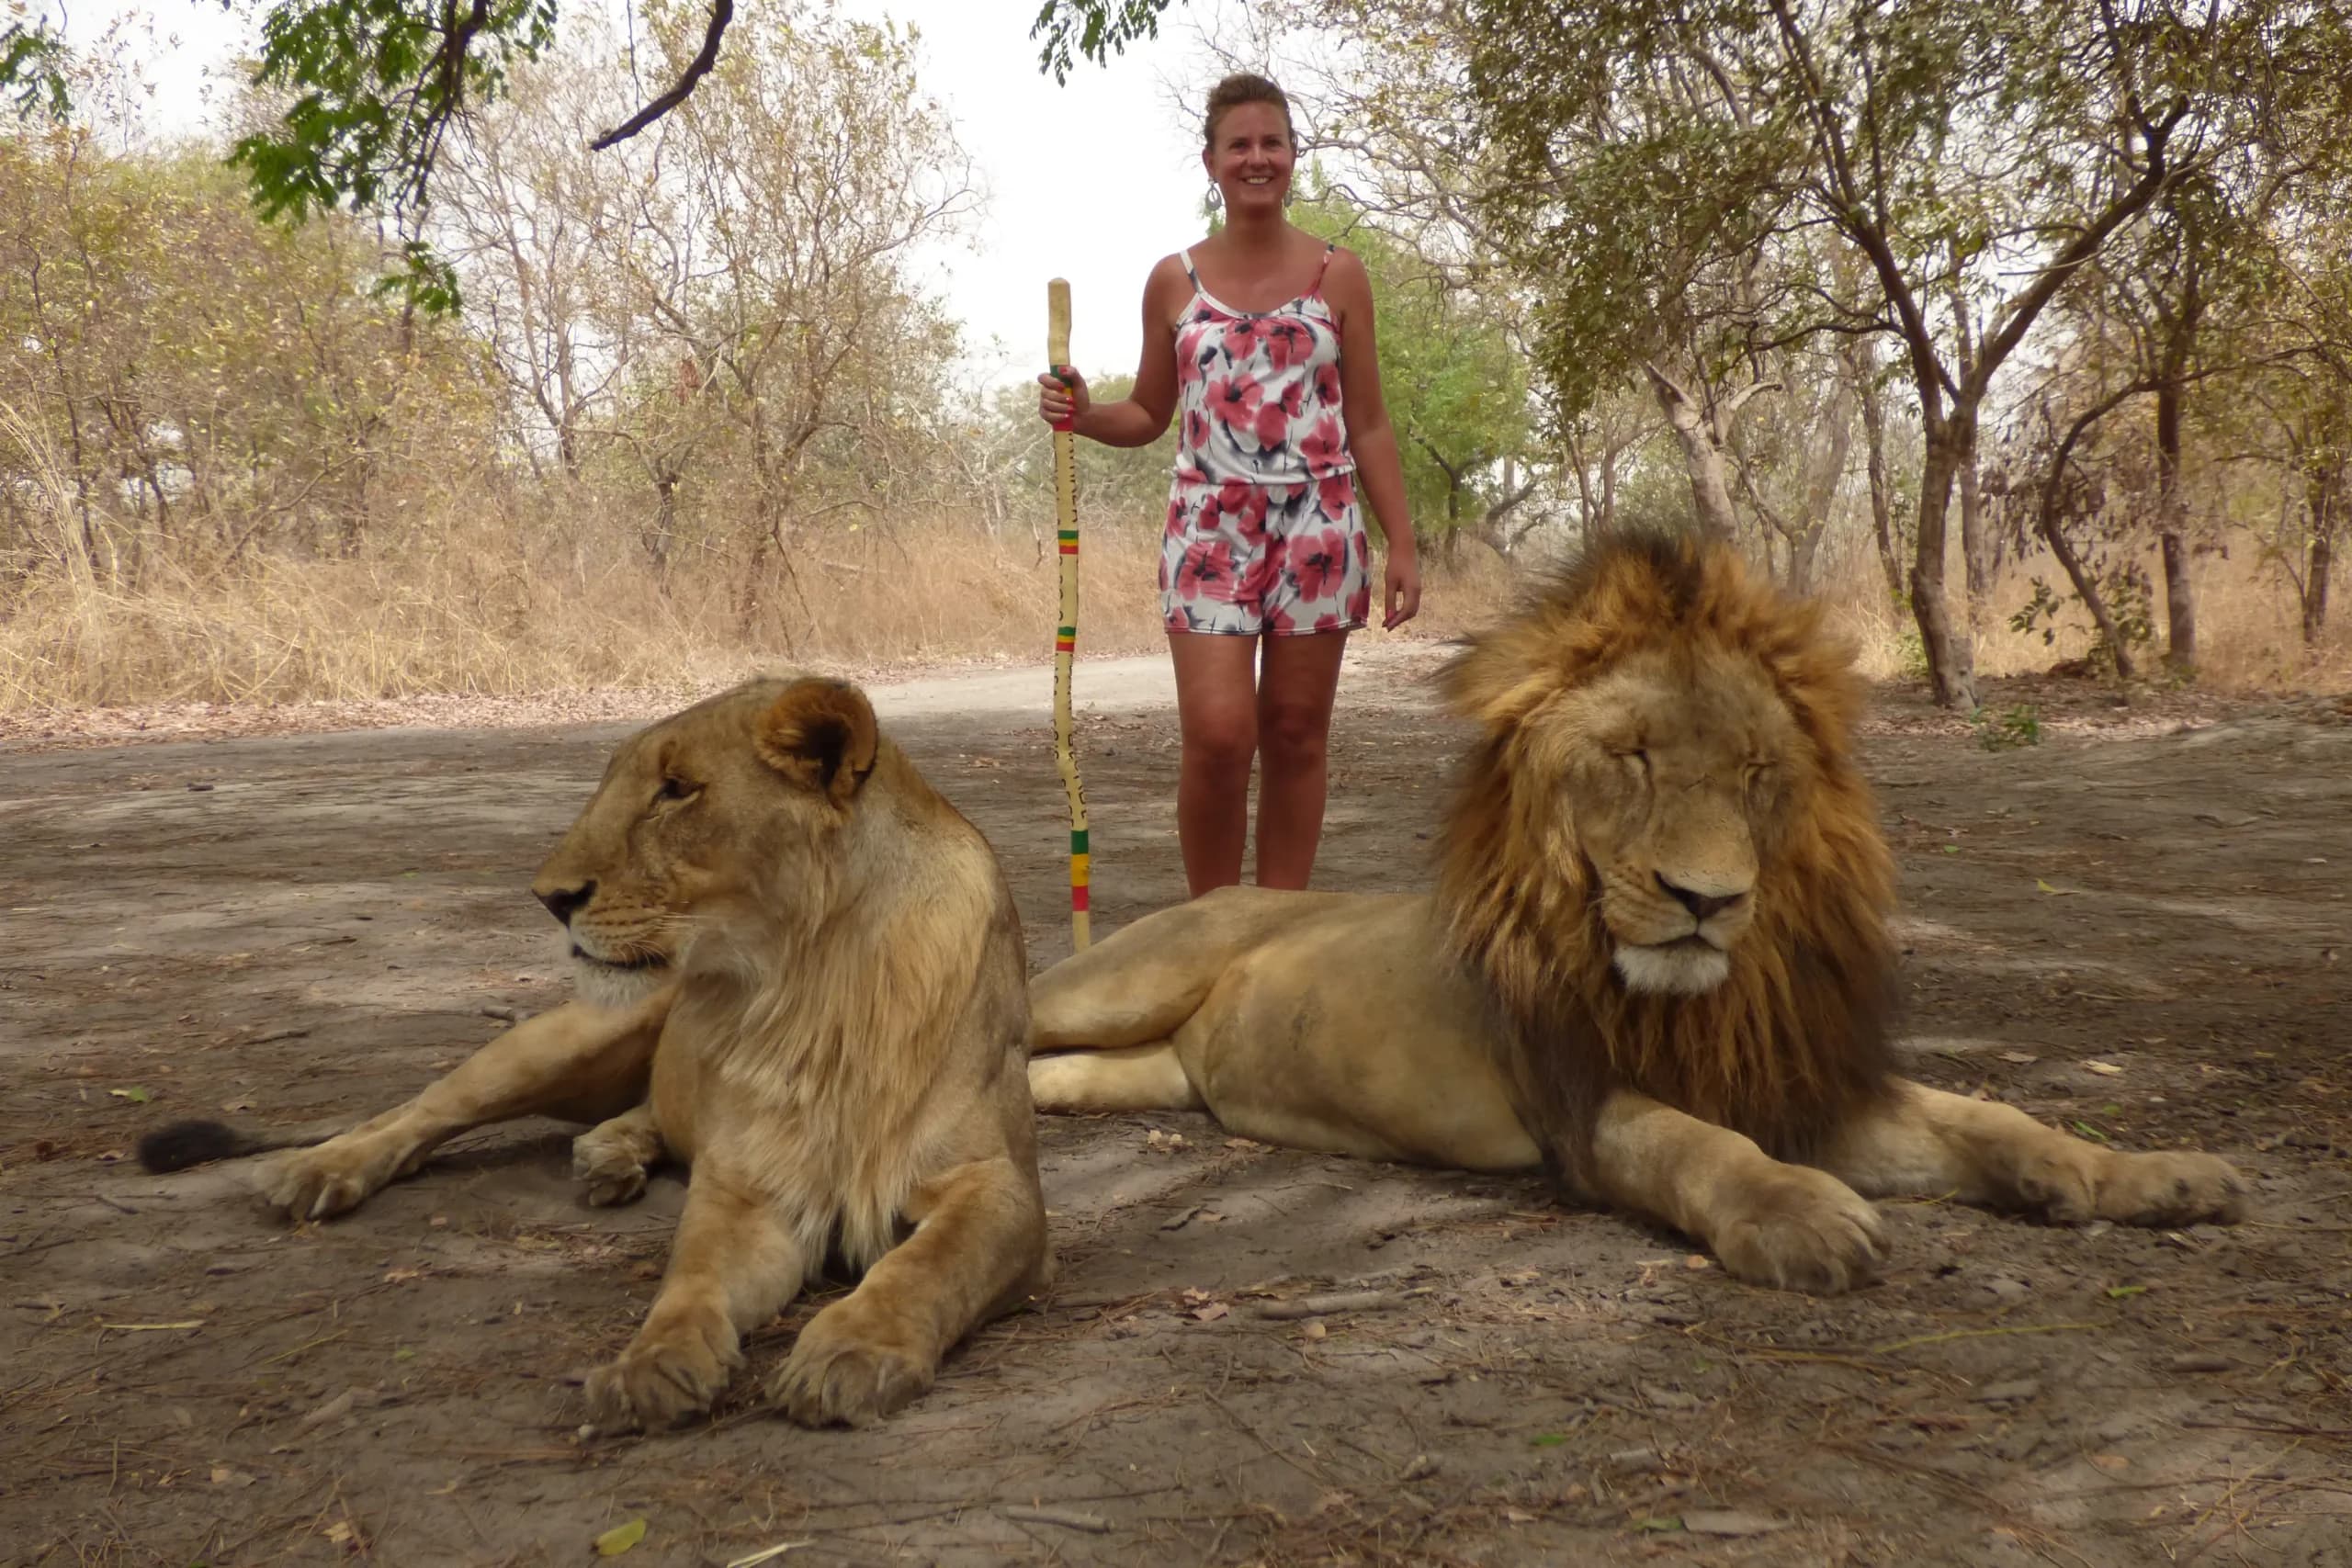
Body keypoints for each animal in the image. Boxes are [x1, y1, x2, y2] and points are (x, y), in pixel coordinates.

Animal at [139, 676, 1049, 1427]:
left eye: (676, 790)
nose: (549, 897)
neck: (803, 986)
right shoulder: (746, 1189)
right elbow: (690, 1277)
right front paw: (651, 1362)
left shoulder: (995, 1187)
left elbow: (923, 1266)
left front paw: (847, 1350)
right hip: (568, 1039)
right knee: (423, 1110)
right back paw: (320, 1169)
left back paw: (610, 1158)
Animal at [1026, 530, 2246, 1291]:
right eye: (1633, 759)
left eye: (1756, 773)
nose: (1706, 899)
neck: (1710, 997)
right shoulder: (1580, 1100)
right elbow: (1697, 1147)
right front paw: (1800, 1216)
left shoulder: (1798, 1076)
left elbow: (1987, 1116)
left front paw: (2149, 1175)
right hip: (1121, 980)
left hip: (1149, 1071)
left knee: (1058, 1077)